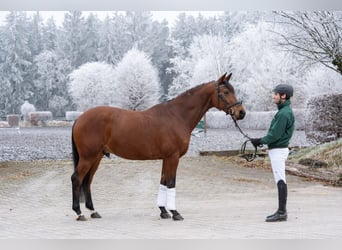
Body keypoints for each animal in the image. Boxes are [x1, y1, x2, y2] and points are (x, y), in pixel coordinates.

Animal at [71, 72, 244, 221]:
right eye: (225, 91)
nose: (241, 113)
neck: (177, 116)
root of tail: (80, 118)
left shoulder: (166, 158)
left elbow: (163, 182)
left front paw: (163, 211)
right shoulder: (173, 157)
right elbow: (171, 183)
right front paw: (175, 213)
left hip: (97, 157)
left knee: (88, 181)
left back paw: (93, 211)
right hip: (88, 157)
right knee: (77, 179)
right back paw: (79, 213)